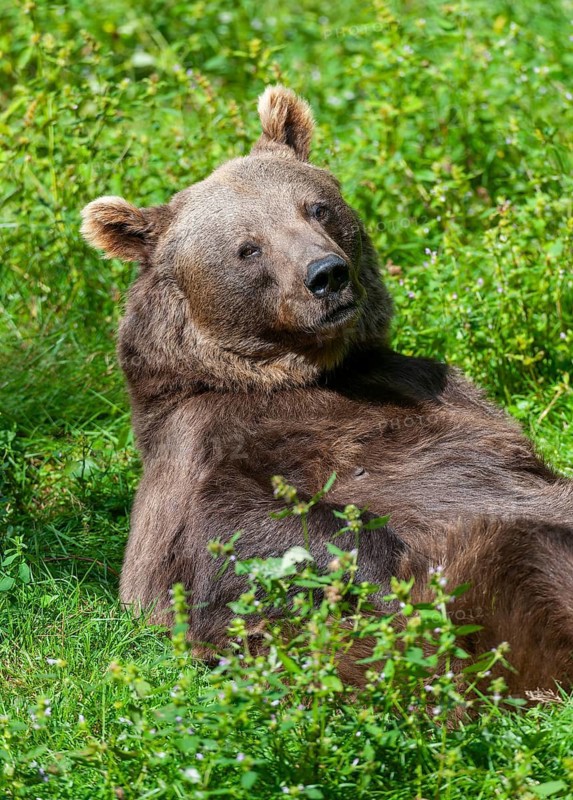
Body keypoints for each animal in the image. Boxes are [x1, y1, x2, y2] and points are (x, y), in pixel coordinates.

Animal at [81, 85, 573, 696]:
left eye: (316, 207)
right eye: (248, 247)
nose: (327, 274)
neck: (306, 372)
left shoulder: (438, 394)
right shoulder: (197, 445)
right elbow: (232, 539)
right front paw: (372, 560)